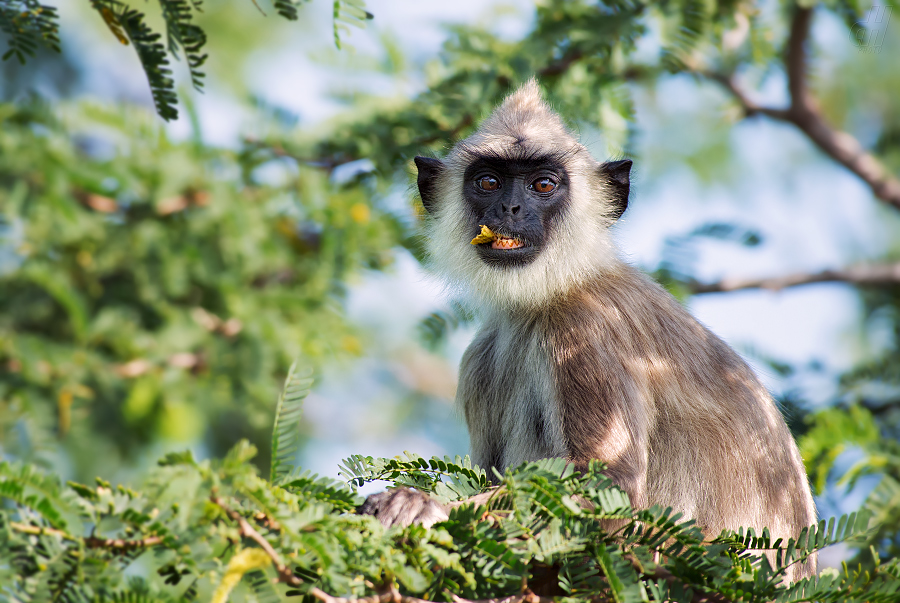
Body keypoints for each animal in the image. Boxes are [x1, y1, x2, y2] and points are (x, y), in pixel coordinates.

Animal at [358, 79, 816, 580]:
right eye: (489, 182)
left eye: (543, 184)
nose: (510, 207)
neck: (556, 287)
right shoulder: (481, 358)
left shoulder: (584, 330)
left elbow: (606, 499)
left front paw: (423, 507)